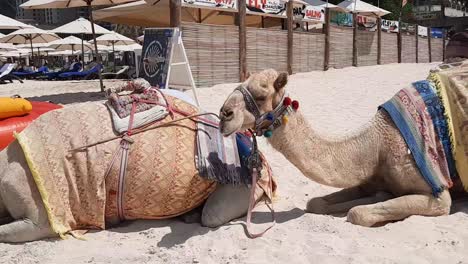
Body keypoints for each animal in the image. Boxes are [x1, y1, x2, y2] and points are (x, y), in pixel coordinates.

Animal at [218, 68, 464, 227]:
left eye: (261, 96)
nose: (224, 114)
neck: (376, 145)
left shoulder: (439, 195)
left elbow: (356, 214)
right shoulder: (367, 179)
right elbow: (315, 203)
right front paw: (380, 195)